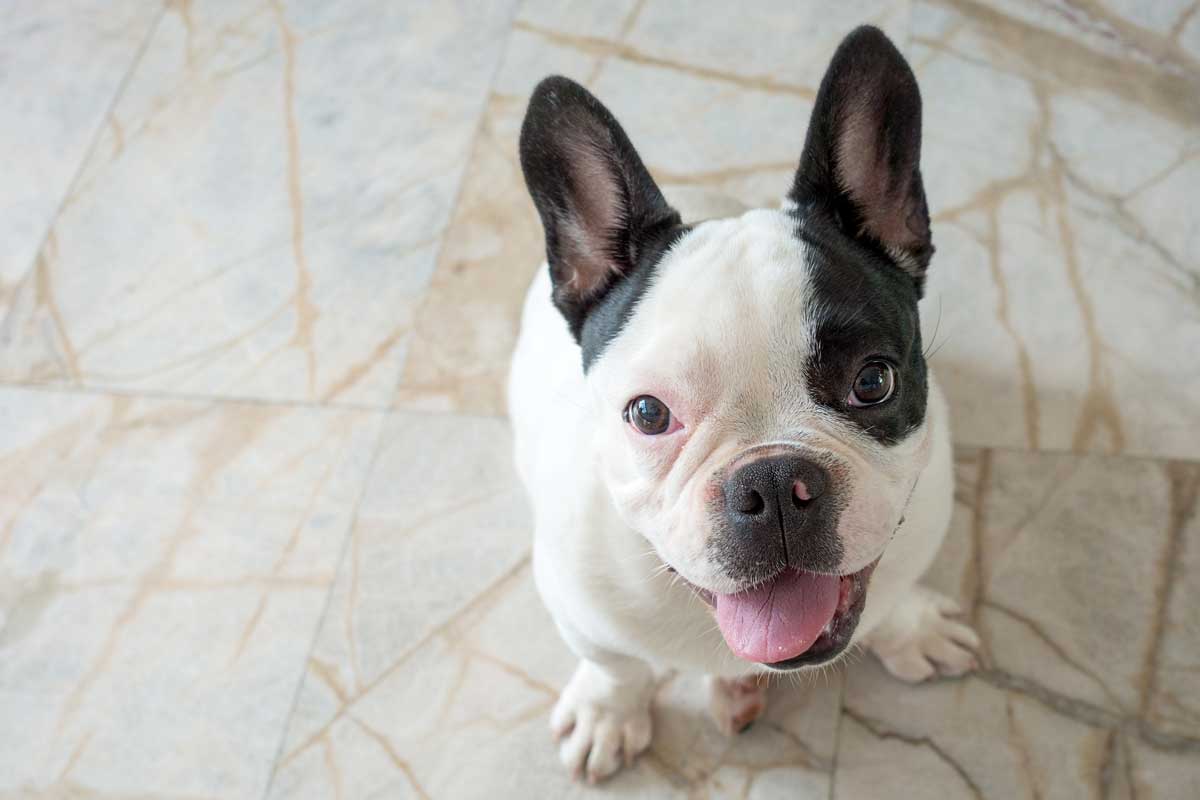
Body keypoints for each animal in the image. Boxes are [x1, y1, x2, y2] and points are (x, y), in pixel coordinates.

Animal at [504, 25, 974, 782]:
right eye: (648, 414)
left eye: (873, 382)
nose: (776, 482)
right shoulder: (579, 606)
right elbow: (615, 664)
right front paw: (609, 712)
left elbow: (897, 589)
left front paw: (914, 627)